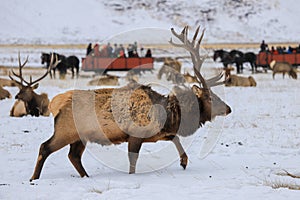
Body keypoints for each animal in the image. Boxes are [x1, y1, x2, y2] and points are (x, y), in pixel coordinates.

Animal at [29, 25, 232, 181]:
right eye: (211, 97)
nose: (229, 108)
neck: (168, 115)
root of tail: (55, 104)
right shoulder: (135, 135)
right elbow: (133, 162)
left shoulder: (158, 134)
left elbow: (175, 138)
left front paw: (184, 161)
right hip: (65, 131)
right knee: (45, 147)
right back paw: (33, 178)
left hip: (80, 137)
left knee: (73, 156)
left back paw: (85, 176)